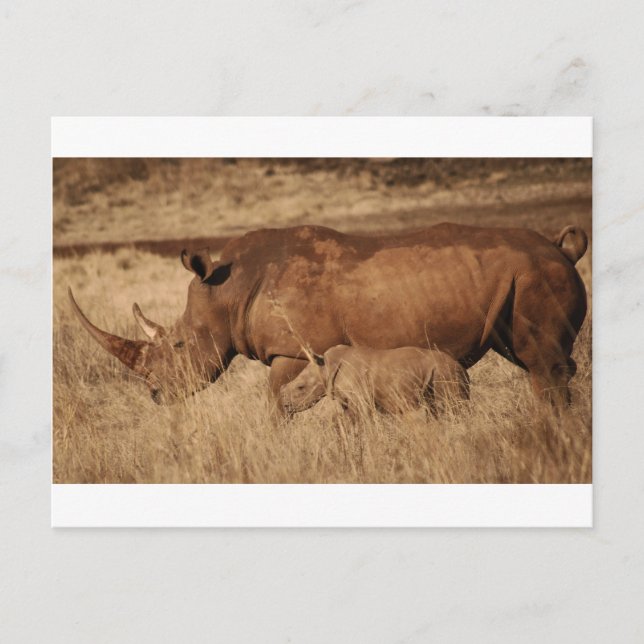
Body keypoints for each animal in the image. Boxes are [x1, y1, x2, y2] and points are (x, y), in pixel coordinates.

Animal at [68, 222, 588, 408]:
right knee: (537, 363)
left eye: (177, 345)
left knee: (543, 364)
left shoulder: (296, 350)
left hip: (536, 275)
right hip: (523, 279)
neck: (226, 291)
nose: (156, 395)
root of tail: (563, 249)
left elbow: (277, 401)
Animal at [280, 345, 470, 416]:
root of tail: (461, 369)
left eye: (300, 387)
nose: (286, 405)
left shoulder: (359, 398)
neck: (325, 366)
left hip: (444, 372)